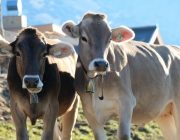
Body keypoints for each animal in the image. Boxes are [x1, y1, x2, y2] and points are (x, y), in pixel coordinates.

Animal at [61, 12, 180, 140]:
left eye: (109, 40)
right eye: (83, 38)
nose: (101, 64)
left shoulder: (126, 102)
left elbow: (123, 134)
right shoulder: (89, 110)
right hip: (165, 114)